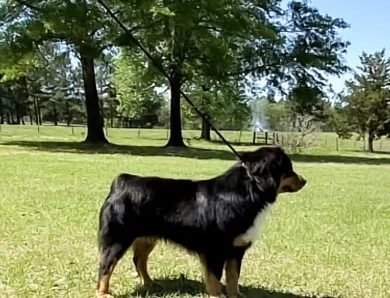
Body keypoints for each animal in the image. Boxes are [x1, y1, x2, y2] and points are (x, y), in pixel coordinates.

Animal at [96, 146, 306, 296]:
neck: (247, 192)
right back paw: (103, 293)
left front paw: (235, 295)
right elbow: (215, 279)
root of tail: (122, 181)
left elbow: (233, 277)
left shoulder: (236, 250)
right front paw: (217, 296)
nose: (304, 181)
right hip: (118, 239)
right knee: (106, 266)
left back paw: (149, 283)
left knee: (139, 260)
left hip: (147, 238)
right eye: (288, 169)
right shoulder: (214, 250)